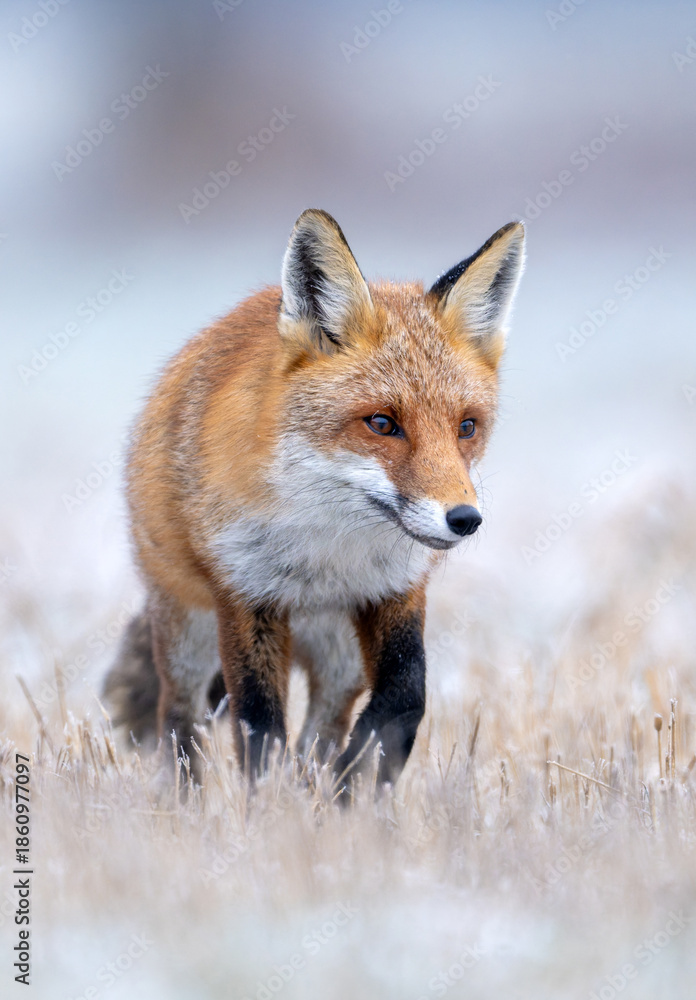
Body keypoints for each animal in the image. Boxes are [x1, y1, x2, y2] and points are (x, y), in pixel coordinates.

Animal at [104, 209, 525, 794]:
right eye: (382, 423)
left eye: (467, 426)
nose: (464, 520)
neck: (327, 555)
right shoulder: (246, 597)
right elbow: (259, 728)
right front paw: (269, 806)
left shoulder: (395, 591)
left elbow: (406, 699)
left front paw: (357, 781)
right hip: (188, 629)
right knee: (179, 719)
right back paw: (184, 800)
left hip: (340, 657)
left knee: (321, 729)